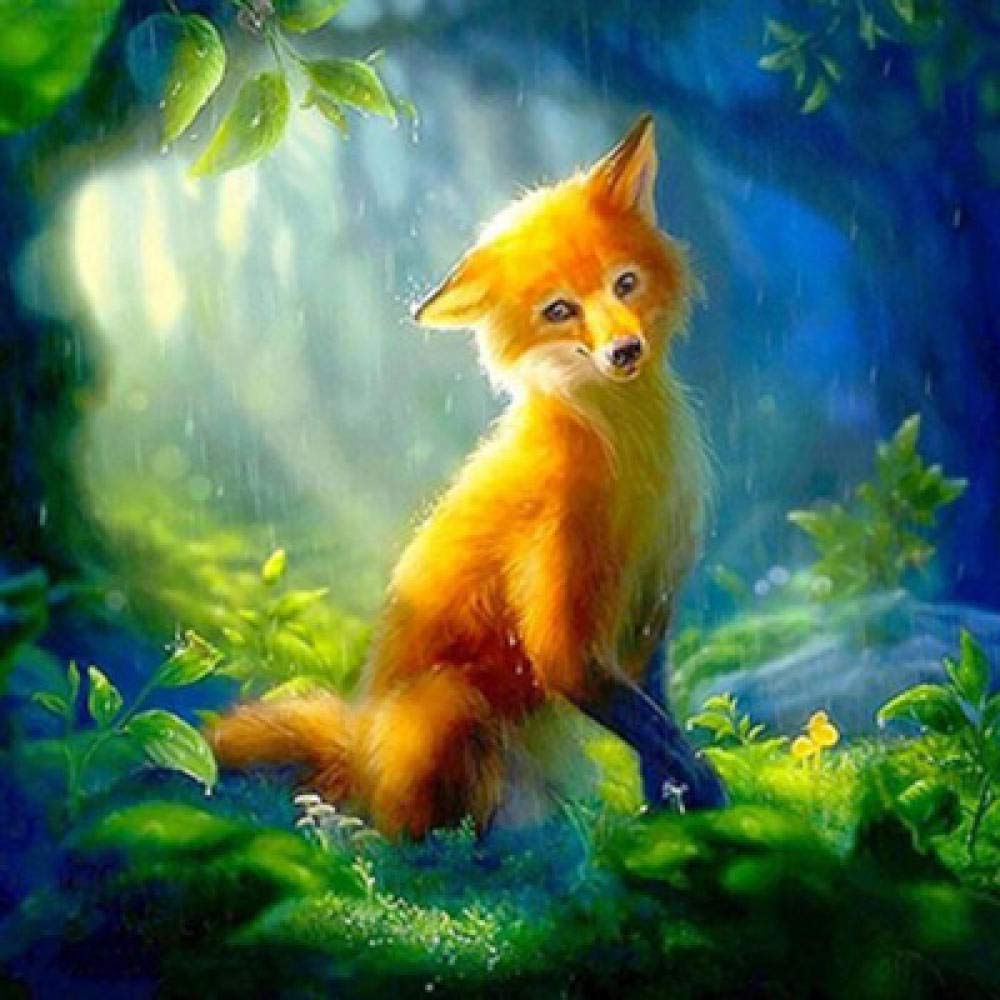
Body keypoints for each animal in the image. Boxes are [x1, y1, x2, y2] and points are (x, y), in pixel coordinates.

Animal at [209, 114, 726, 838]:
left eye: (625, 284)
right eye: (559, 310)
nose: (625, 351)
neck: (625, 461)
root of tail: (361, 752)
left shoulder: (649, 606)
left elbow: (657, 726)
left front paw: (669, 817)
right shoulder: (564, 630)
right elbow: (650, 725)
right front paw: (705, 790)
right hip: (446, 703)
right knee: (411, 831)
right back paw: (380, 837)